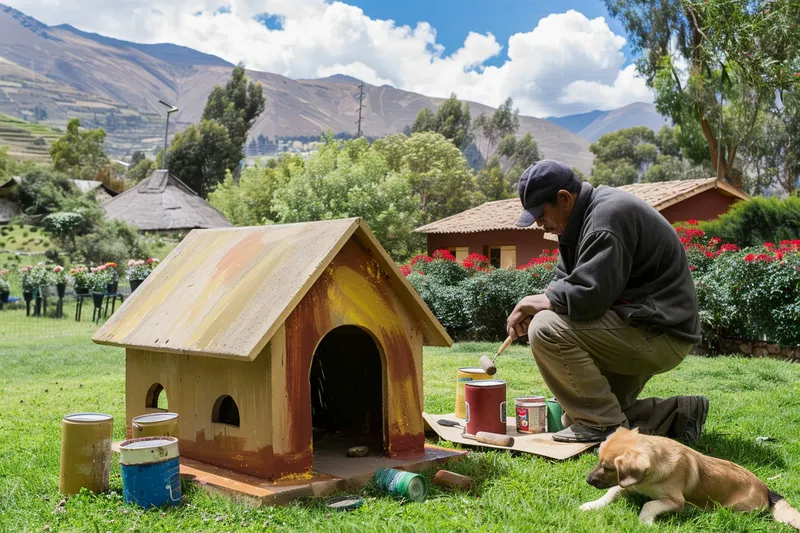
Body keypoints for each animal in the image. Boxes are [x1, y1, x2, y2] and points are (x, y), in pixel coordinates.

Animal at [580, 426, 800, 524]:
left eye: (608, 467)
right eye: (599, 461)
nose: (587, 480)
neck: (648, 480)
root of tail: (767, 489)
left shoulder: (675, 500)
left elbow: (649, 504)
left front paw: (645, 522)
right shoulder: (629, 484)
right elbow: (610, 493)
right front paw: (591, 505)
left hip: (735, 508)